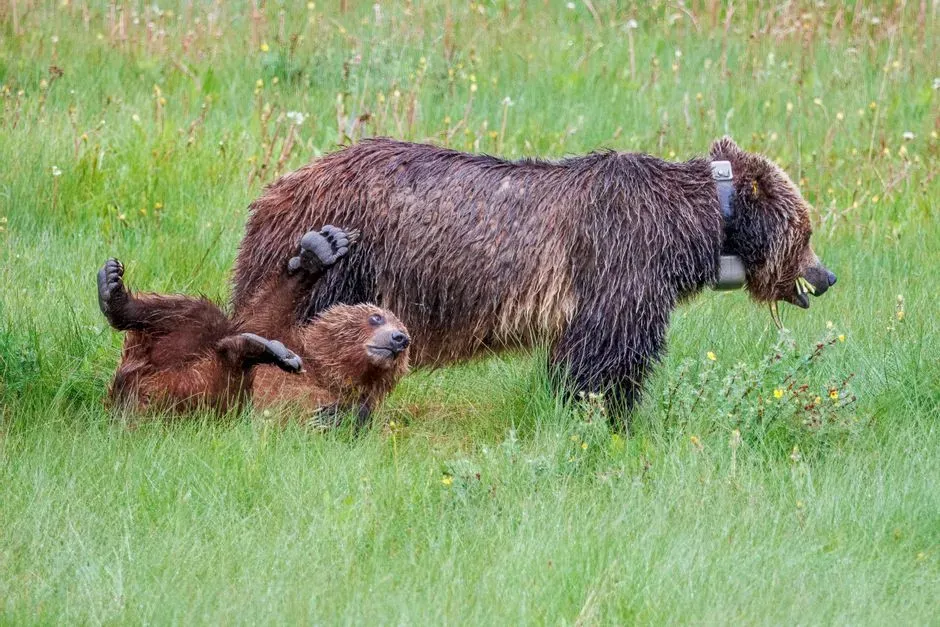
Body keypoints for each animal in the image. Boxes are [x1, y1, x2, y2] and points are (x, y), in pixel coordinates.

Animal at [98, 226, 410, 428]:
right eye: (376, 317)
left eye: (407, 337)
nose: (399, 338)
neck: (323, 370)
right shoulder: (281, 331)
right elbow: (263, 310)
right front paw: (323, 248)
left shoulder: (347, 399)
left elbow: (344, 416)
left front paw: (330, 418)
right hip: (161, 355)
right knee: (198, 316)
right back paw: (113, 290)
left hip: (206, 404)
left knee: (225, 368)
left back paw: (264, 352)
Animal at [229, 137, 836, 424]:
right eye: (807, 228)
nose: (826, 275)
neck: (696, 227)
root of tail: (277, 190)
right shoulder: (619, 257)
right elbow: (607, 353)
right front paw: (603, 413)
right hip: (353, 254)